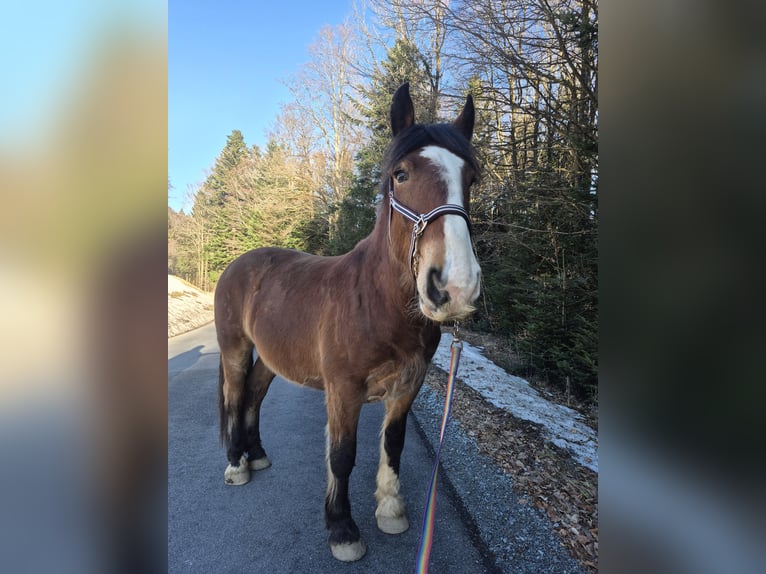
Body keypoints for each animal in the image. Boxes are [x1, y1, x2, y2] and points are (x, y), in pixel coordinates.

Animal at [213, 83, 481, 562]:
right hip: (235, 350)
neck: (377, 305)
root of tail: (238, 264)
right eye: (401, 174)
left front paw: (391, 511)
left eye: (471, 178)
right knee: (235, 396)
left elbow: (393, 444)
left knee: (254, 396)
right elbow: (341, 454)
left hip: (274, 358)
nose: (455, 286)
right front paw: (342, 529)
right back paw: (236, 464)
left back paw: (256, 454)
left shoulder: (407, 386)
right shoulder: (343, 390)